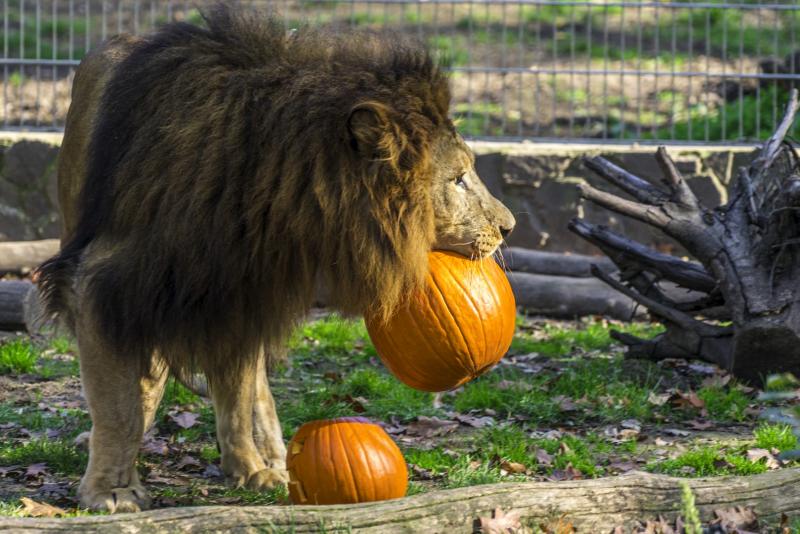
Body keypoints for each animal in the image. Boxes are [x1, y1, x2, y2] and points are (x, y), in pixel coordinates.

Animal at [36, 4, 512, 516]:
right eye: (457, 179)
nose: (509, 226)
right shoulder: (102, 284)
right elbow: (122, 406)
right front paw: (112, 489)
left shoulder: (245, 293)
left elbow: (238, 393)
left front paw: (250, 467)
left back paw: (271, 461)